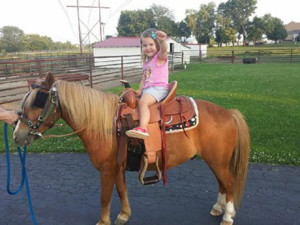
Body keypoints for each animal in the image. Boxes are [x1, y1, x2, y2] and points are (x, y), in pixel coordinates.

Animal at [12, 72, 250, 225]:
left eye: (40, 100)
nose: (17, 135)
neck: (105, 124)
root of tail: (229, 113)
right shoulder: (117, 166)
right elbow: (121, 190)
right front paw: (124, 215)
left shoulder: (106, 170)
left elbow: (105, 198)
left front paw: (104, 222)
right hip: (215, 160)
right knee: (222, 183)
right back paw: (218, 208)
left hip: (217, 160)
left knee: (229, 183)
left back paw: (227, 216)